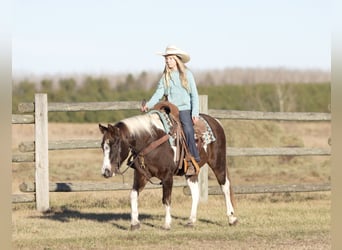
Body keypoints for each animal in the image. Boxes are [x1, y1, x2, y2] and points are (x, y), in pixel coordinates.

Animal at [99, 106, 238, 230]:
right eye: (102, 146)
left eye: (114, 144)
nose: (106, 172)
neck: (151, 141)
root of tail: (216, 121)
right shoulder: (141, 175)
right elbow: (133, 195)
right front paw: (134, 223)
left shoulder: (167, 177)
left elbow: (166, 200)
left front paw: (166, 224)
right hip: (191, 172)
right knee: (195, 192)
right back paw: (191, 221)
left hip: (218, 162)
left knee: (225, 186)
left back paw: (232, 218)